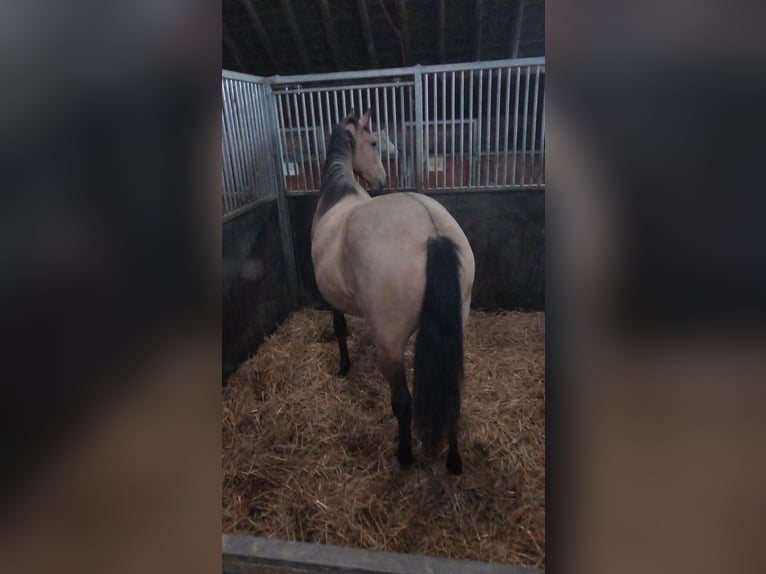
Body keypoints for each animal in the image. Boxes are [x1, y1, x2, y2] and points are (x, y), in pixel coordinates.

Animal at [311, 109, 475, 474]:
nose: (383, 180)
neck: (338, 194)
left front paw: (344, 367)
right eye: (374, 142)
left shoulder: (331, 299)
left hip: (389, 345)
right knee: (453, 392)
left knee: (402, 402)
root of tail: (432, 232)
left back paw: (404, 456)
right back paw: (454, 462)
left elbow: (339, 328)